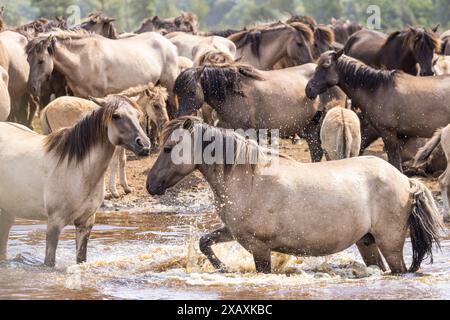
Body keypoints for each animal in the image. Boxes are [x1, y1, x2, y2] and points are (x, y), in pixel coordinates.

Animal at [0, 96, 151, 266]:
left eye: (138, 115)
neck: (77, 169)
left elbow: (81, 259)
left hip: (8, 210)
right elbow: (49, 262)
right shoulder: (54, 224)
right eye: (116, 116)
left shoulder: (85, 223)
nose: (145, 145)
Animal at [25, 29, 179, 117]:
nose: (31, 88)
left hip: (170, 85)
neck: (82, 58)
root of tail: (169, 44)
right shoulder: (79, 94)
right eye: (27, 60)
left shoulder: (97, 94)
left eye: (41, 61)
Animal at [147, 116, 442, 274]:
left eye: (168, 147)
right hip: (366, 241)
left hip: (389, 243)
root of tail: (406, 181)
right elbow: (204, 242)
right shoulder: (233, 232)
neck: (247, 179)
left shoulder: (259, 247)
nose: (150, 185)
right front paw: (223, 269)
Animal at [174, 62, 342, 162]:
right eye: (177, 93)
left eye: (191, 92)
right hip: (311, 128)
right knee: (316, 152)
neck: (233, 93)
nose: (181, 118)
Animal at [304, 50, 450, 171]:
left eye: (326, 65)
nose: (308, 89)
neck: (377, 89)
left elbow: (395, 164)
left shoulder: (388, 134)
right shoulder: (401, 137)